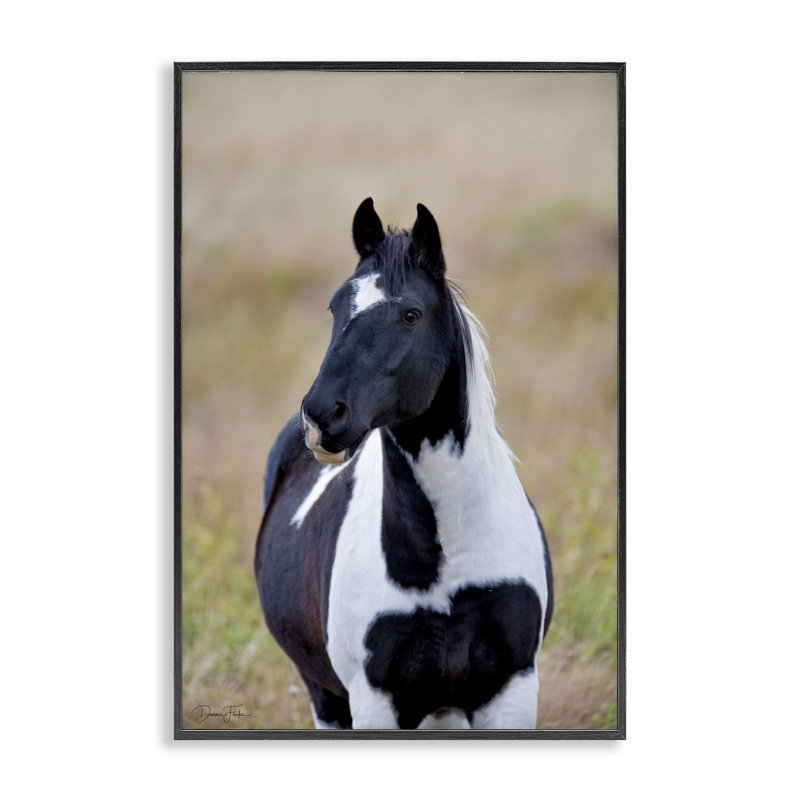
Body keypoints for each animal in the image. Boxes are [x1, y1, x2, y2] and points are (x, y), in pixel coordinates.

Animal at [255, 198, 553, 730]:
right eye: (335, 307)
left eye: (411, 314)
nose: (320, 416)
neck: (446, 561)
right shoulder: (376, 701)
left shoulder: (511, 691)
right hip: (327, 698)